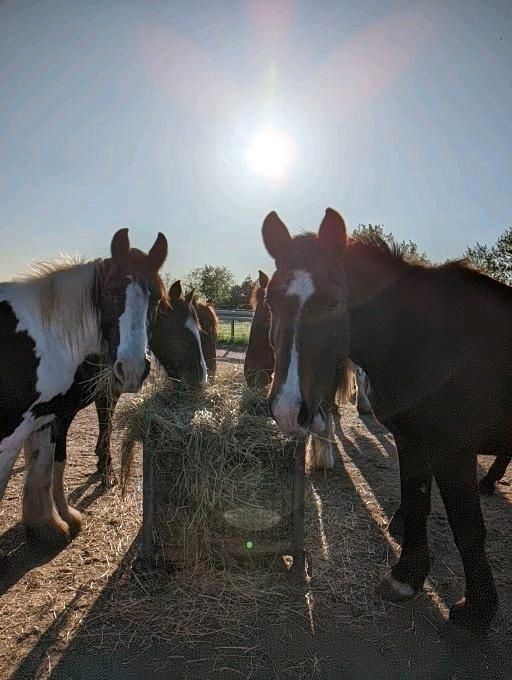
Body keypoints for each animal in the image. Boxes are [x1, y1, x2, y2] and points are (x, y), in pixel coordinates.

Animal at [0, 228, 168, 548]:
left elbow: (48, 464)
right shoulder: (16, 431)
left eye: (158, 301)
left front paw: (51, 525)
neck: (43, 338)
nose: (132, 368)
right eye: (112, 293)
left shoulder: (46, 416)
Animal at [51, 278, 208, 492]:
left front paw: (104, 465)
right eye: (180, 330)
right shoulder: (68, 411)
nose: (201, 378)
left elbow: (107, 427)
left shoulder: (108, 393)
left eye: (199, 331)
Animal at [264, 210, 508, 636]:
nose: (288, 410)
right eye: (270, 300)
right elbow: (415, 502)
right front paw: (407, 577)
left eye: (334, 301)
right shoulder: (411, 440)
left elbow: (467, 526)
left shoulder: (451, 449)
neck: (424, 338)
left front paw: (478, 609)